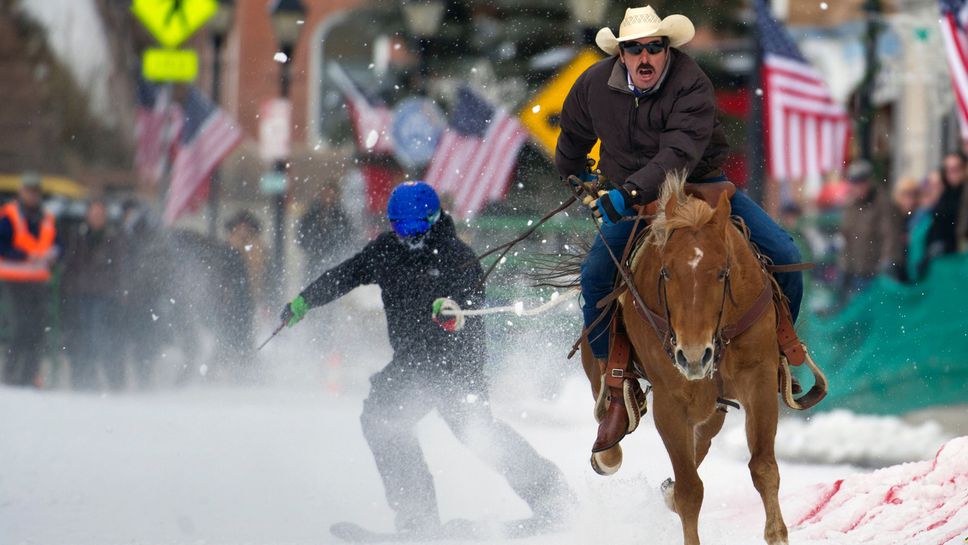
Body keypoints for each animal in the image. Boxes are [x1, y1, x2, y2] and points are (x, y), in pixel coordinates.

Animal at [580, 173, 792, 544]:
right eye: (665, 272)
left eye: (723, 272)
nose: (693, 356)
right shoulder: (671, 403)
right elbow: (690, 491)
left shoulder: (760, 381)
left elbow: (764, 468)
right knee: (607, 398)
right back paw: (608, 447)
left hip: (713, 403)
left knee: (703, 439)